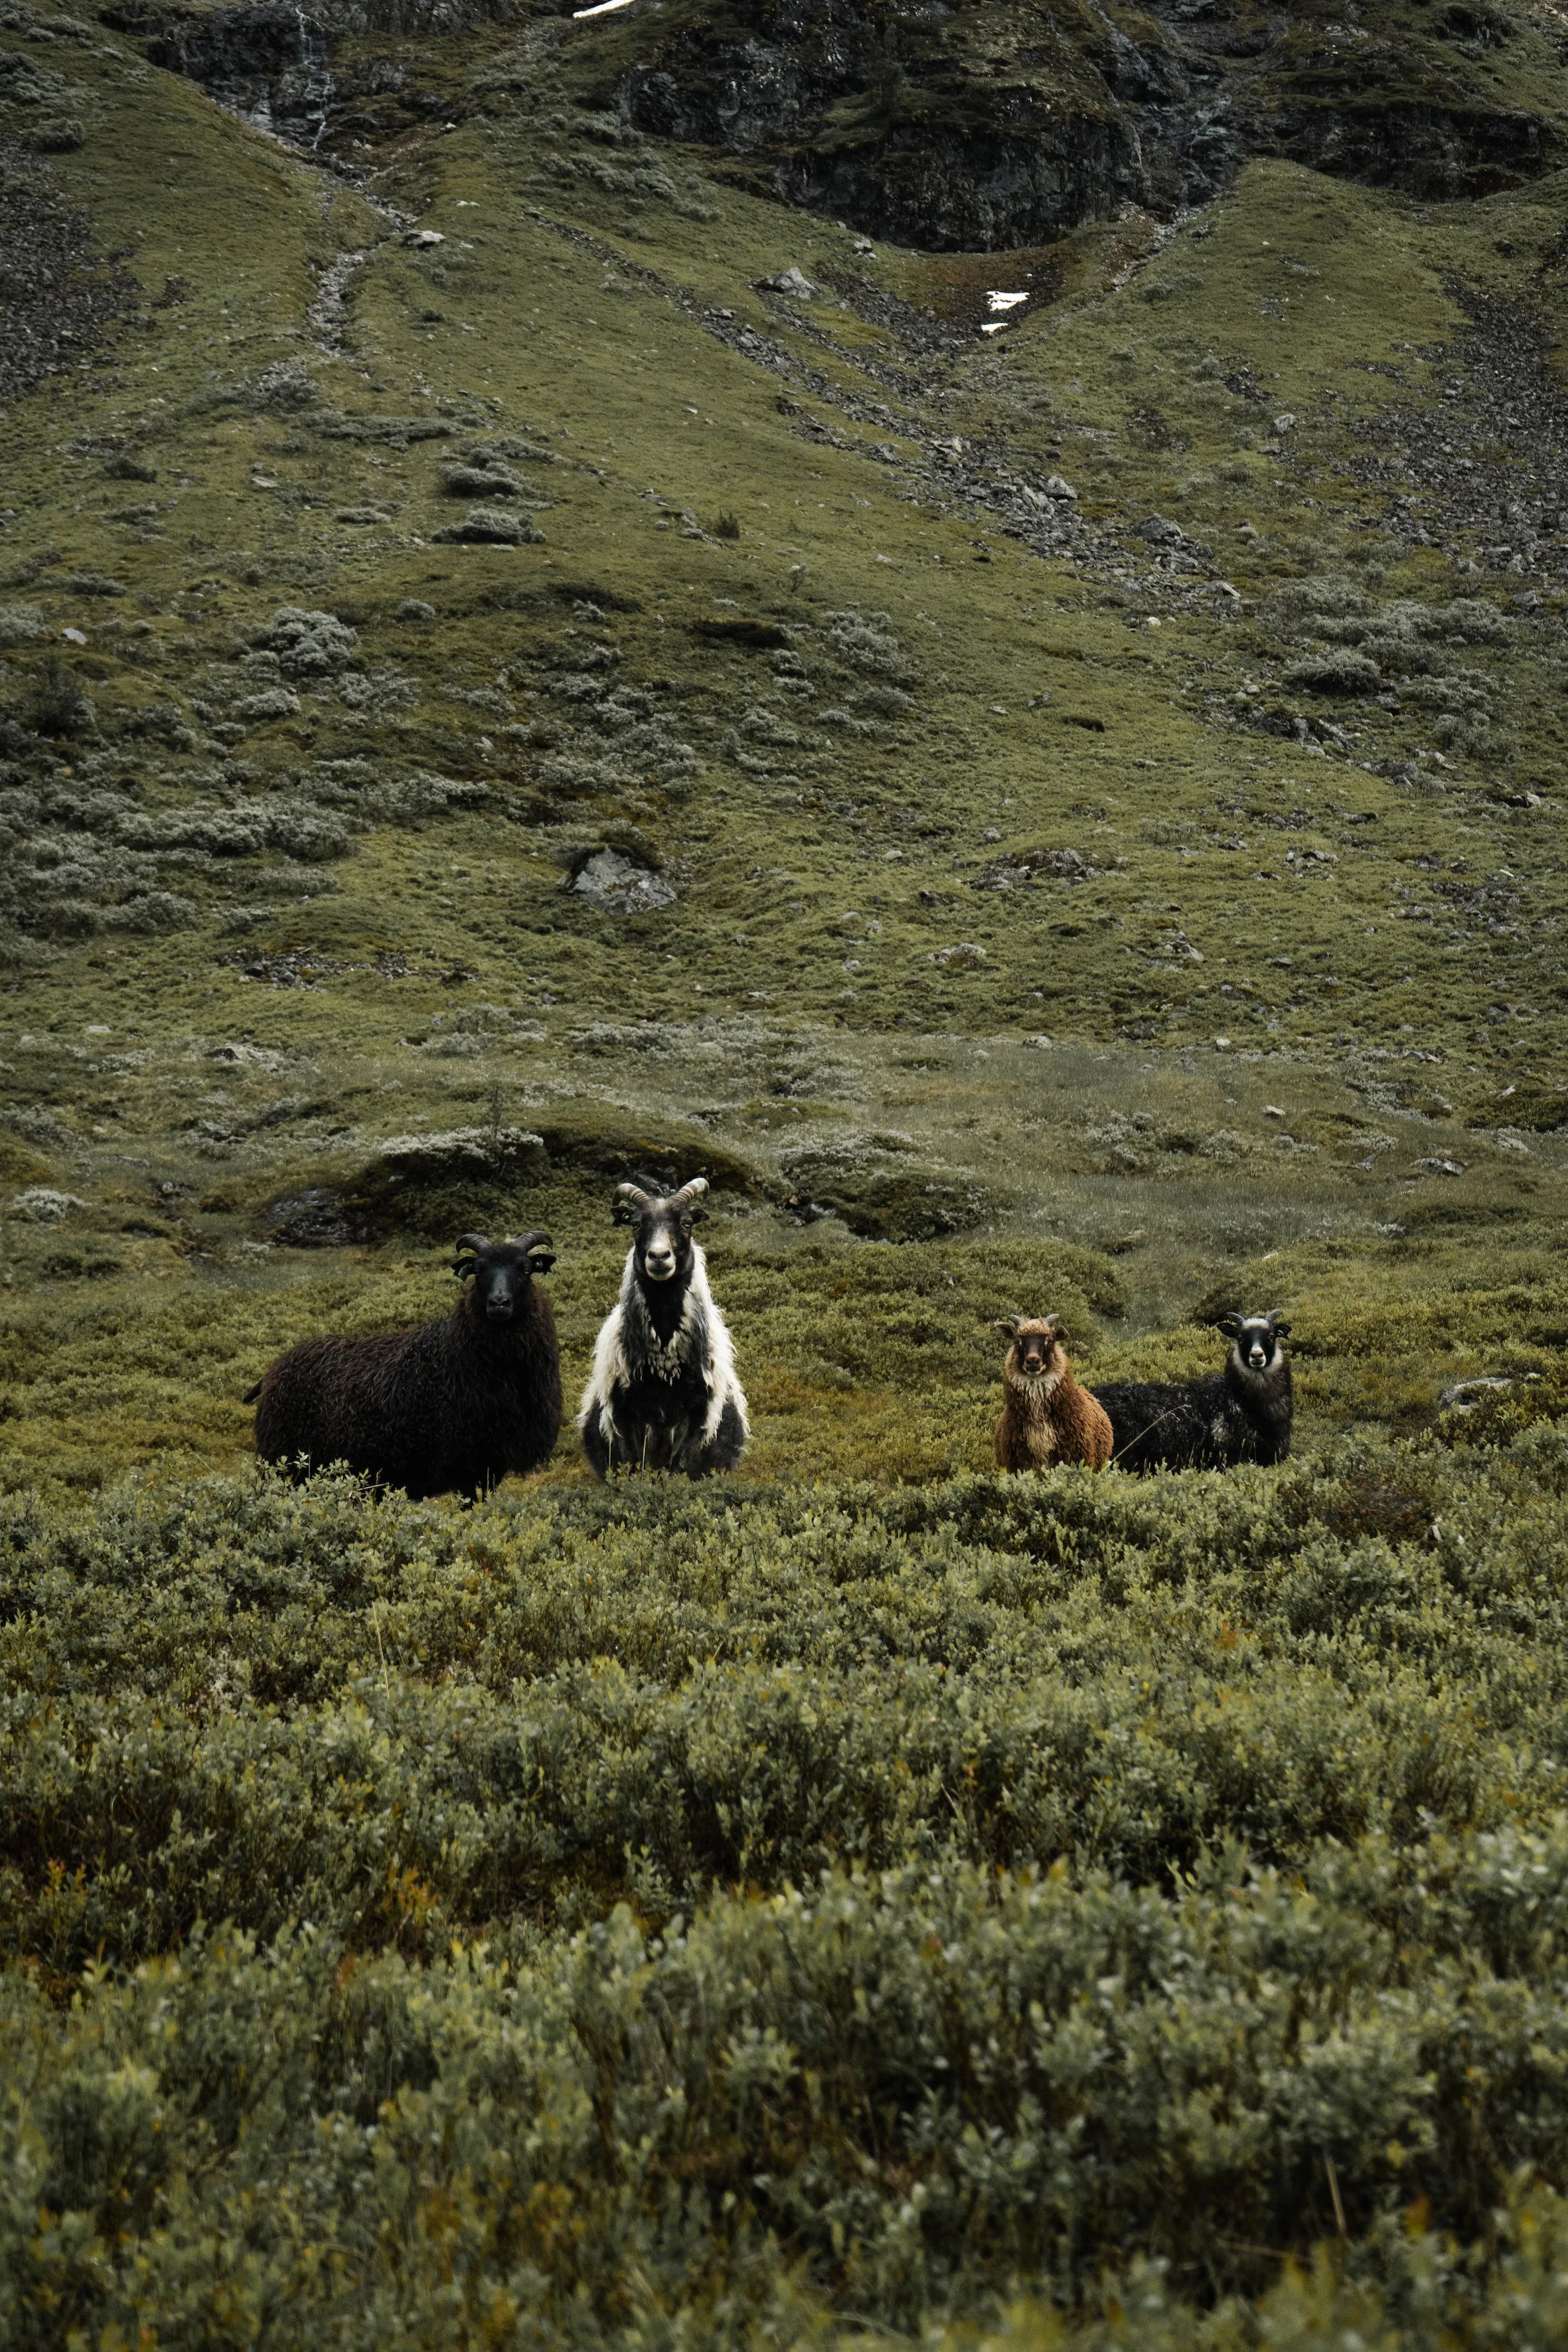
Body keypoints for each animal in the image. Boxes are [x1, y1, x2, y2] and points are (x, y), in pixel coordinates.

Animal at [247, 1231, 561, 1500]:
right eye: (479, 1270)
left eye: (525, 1270)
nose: (499, 1303)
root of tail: (273, 1370)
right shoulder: (464, 1462)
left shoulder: (491, 1463)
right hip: (284, 1462)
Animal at [579, 1176, 748, 1477]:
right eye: (635, 1223)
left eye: (687, 1223)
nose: (659, 1256)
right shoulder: (622, 1413)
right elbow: (631, 1465)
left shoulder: (699, 1413)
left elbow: (680, 1466)